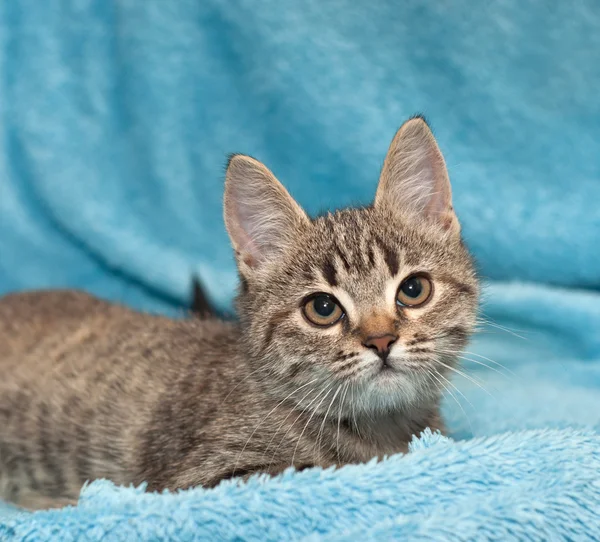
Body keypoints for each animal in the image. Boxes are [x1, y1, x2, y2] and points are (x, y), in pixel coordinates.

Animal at [0, 117, 478, 512]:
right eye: (322, 309)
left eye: (413, 290)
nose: (380, 340)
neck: (381, 427)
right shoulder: (197, 478)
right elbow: (319, 471)